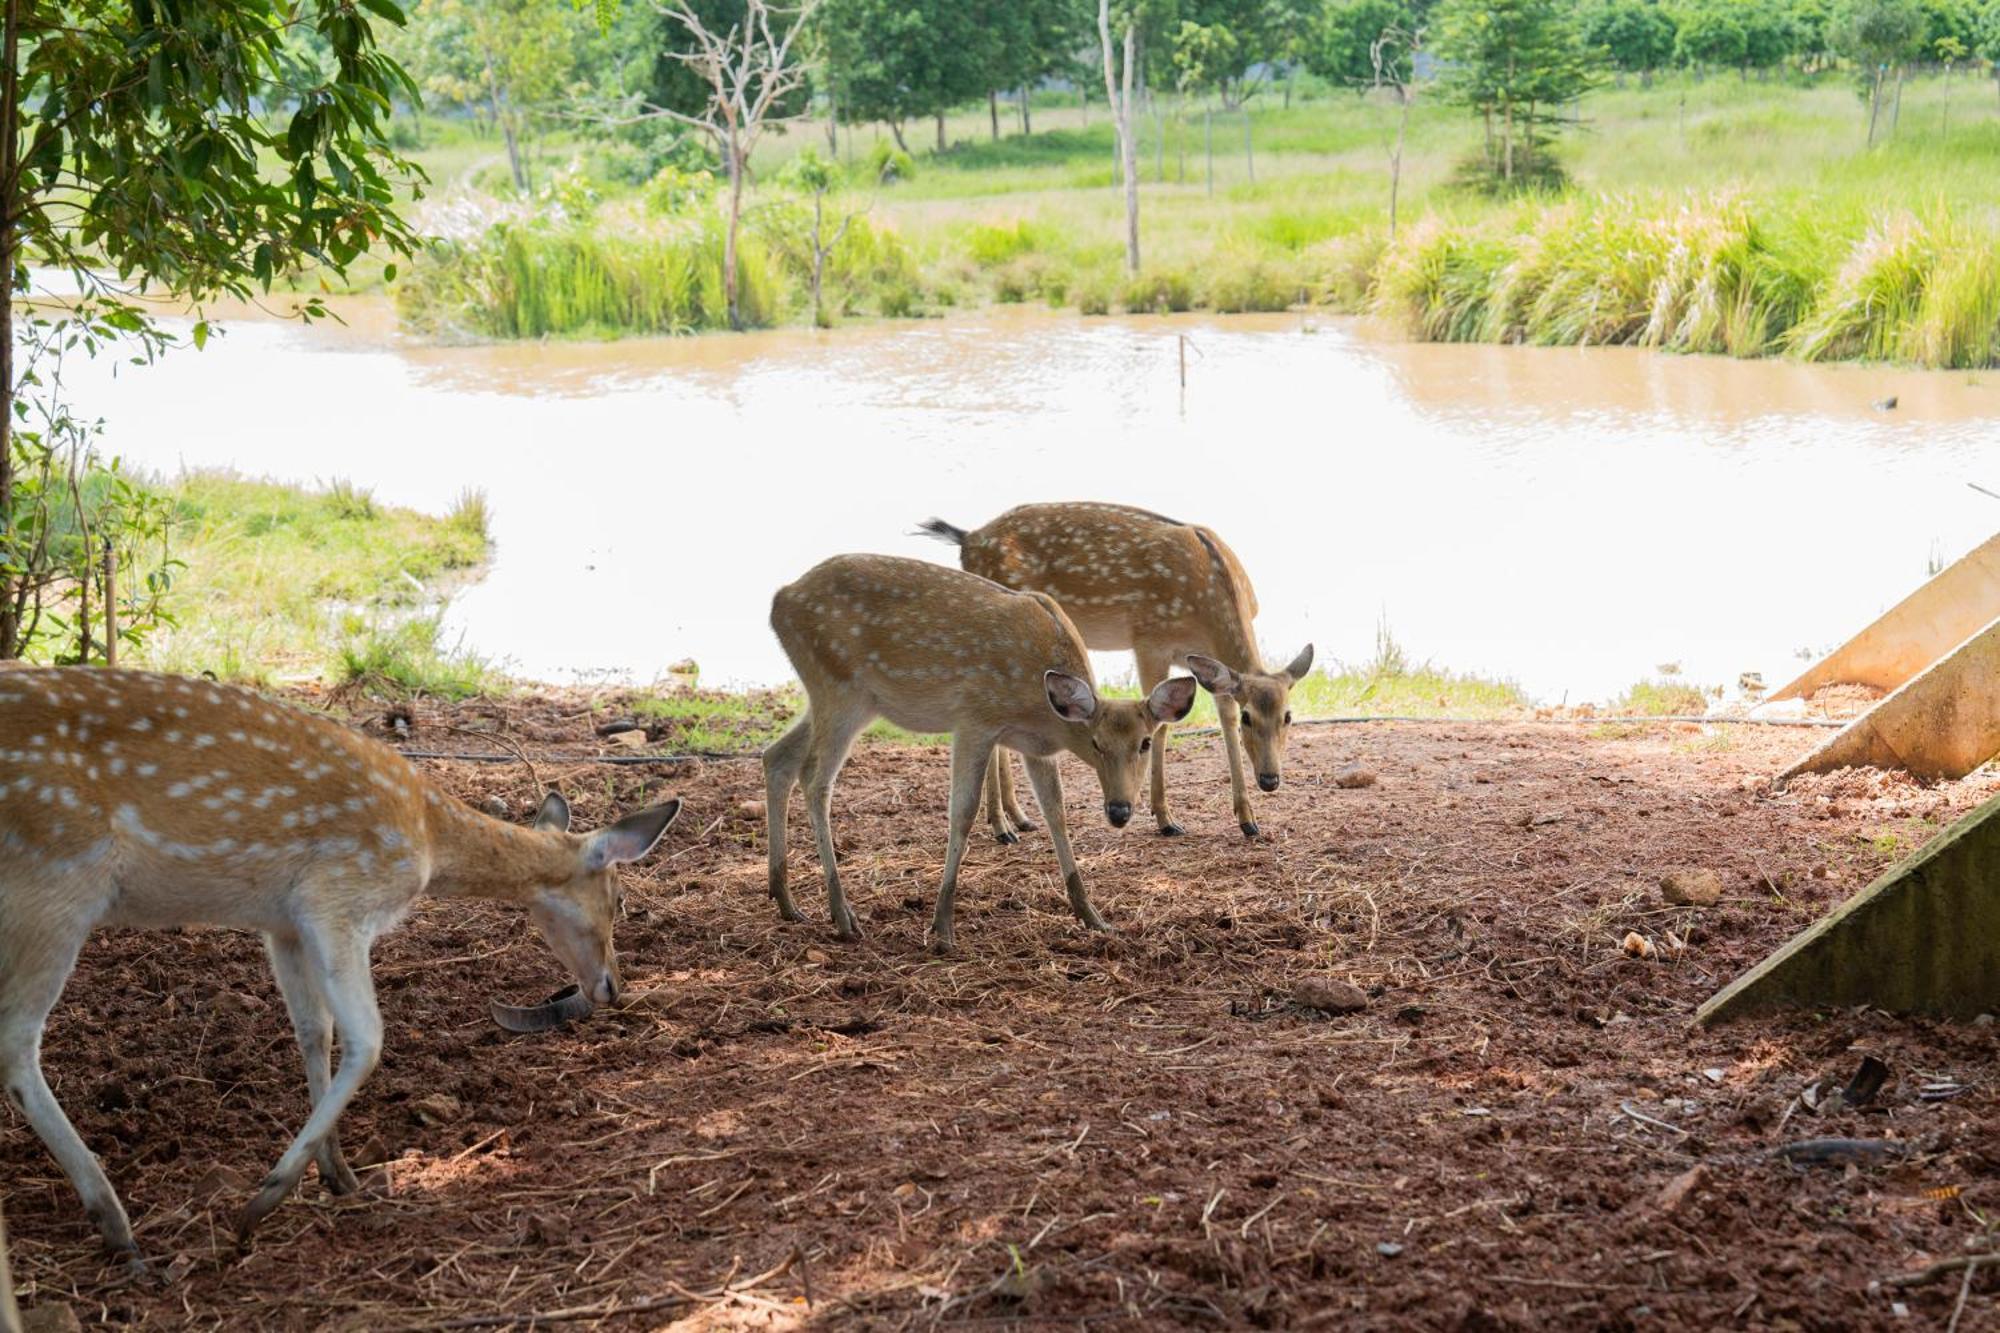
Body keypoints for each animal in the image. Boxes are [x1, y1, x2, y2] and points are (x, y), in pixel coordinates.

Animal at [0, 668, 680, 1264]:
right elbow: (368, 1038)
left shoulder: (283, 923)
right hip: (57, 880)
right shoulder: (341, 897)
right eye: (619, 898)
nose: (612, 986)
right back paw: (116, 1224)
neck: (428, 837)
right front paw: (264, 1200)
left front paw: (337, 1171)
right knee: (16, 1043)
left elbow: (313, 1030)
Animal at [764, 556, 1192, 948]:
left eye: (1145, 742)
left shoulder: (1037, 749)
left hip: (849, 699)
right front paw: (941, 927)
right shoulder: (974, 719)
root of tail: (779, 601)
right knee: (815, 780)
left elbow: (1056, 814)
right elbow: (963, 813)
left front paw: (1092, 916)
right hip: (839, 687)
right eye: (1096, 743)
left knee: (777, 757)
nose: (1119, 810)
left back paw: (786, 900)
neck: (1042, 713)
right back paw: (842, 915)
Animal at [916, 504, 1312, 836]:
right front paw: (1166, 819)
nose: (1270, 779)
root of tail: (968, 539)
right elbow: (1162, 726)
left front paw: (1248, 820)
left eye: (1289, 717)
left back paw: (1019, 818)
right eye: (1250, 718)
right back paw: (1001, 826)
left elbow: (1222, 716)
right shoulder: (1149, 639)